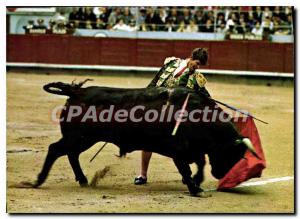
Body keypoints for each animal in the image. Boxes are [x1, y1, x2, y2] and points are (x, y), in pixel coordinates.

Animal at [28, 81, 255, 197]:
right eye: (232, 153)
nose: (220, 174)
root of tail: (77, 91)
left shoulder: (192, 150)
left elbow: (199, 163)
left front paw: (197, 184)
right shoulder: (179, 151)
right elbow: (188, 168)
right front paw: (194, 188)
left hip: (82, 139)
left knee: (70, 154)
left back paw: (83, 180)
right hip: (78, 137)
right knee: (56, 150)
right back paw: (38, 181)